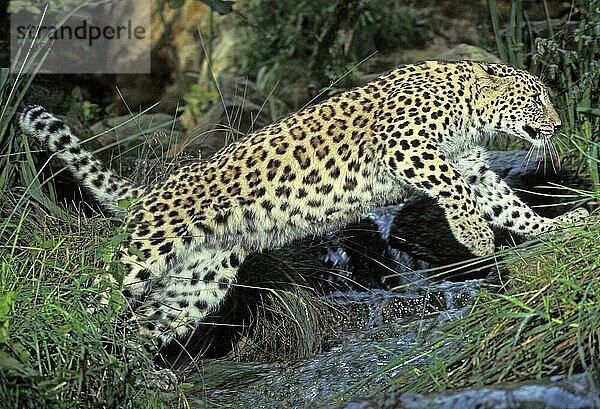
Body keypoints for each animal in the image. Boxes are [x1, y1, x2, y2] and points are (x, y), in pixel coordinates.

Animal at [18, 59, 584, 344]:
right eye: (536, 99)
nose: (559, 125)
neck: (471, 112)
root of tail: (155, 187)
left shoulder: (471, 165)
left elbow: (507, 202)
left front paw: (558, 226)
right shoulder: (406, 148)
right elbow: (458, 193)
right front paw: (475, 234)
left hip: (200, 280)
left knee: (148, 324)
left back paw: (137, 372)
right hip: (143, 252)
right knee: (95, 292)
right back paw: (68, 340)